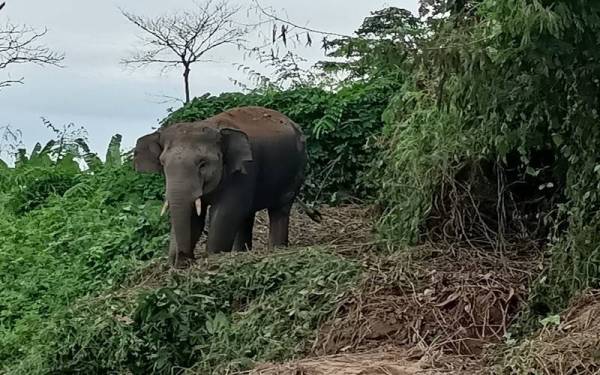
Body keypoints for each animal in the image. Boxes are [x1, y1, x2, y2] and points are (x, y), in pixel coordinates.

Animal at [134, 106, 312, 268]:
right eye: (162, 163)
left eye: (203, 164)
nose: (184, 259)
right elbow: (195, 215)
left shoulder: (243, 171)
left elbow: (225, 212)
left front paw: (212, 258)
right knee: (246, 214)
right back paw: (240, 253)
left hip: (295, 171)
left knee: (279, 209)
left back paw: (276, 250)